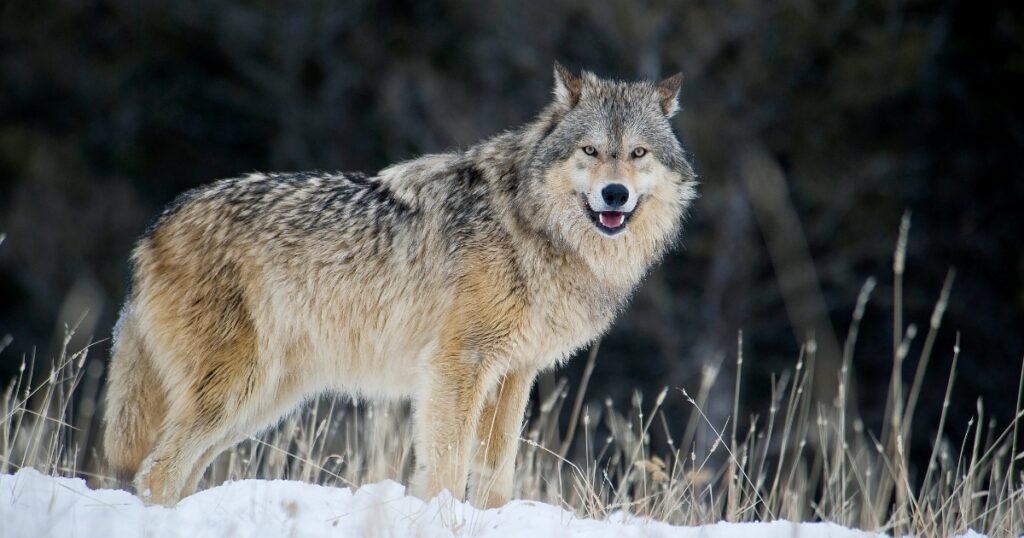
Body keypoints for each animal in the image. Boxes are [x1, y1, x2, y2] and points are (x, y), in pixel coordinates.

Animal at [102, 63, 697, 507]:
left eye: (638, 153)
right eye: (590, 151)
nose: (616, 194)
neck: (530, 226)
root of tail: (154, 228)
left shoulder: (514, 374)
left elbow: (496, 474)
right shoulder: (457, 366)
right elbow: (446, 465)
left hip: (261, 400)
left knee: (176, 472)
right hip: (237, 390)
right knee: (156, 471)